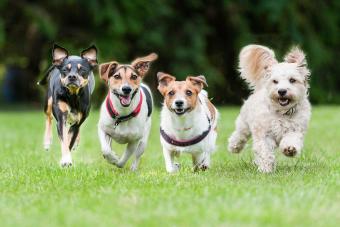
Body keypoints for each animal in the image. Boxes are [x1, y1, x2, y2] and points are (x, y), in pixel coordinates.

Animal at [228, 44, 310, 172]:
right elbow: (264, 151)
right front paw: (265, 169)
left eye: (292, 80)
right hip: (244, 123)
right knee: (240, 134)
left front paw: (290, 149)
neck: (281, 113)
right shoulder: (264, 134)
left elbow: (291, 138)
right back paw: (234, 146)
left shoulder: (296, 129)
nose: (282, 91)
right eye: (275, 81)